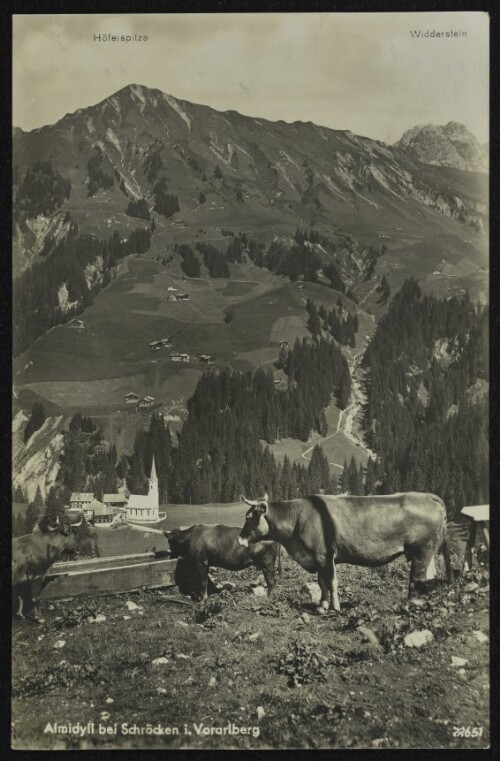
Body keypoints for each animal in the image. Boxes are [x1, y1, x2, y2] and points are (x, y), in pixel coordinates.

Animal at [236, 492, 452, 612]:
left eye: (249, 517)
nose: (239, 538)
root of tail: (427, 496)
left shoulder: (324, 555)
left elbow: (331, 581)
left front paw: (335, 607)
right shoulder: (316, 558)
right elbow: (321, 583)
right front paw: (322, 606)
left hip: (422, 550)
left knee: (416, 579)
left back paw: (410, 605)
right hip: (427, 552)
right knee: (428, 577)